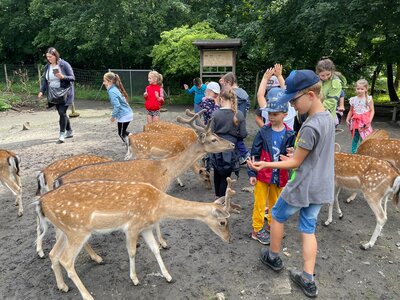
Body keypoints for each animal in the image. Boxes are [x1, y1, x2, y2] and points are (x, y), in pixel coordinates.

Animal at [36, 178, 236, 300]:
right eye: (223, 222)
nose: (229, 240)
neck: (158, 207)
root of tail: (40, 203)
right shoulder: (132, 226)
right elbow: (132, 252)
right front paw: (134, 279)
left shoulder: (145, 227)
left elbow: (155, 249)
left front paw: (168, 276)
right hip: (77, 230)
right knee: (66, 259)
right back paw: (87, 295)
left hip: (65, 231)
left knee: (53, 254)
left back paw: (62, 286)